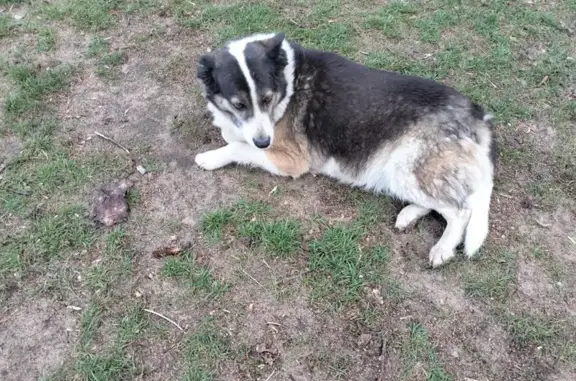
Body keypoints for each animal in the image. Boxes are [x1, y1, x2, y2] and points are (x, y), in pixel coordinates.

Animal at [194, 32, 496, 268]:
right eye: (239, 104)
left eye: (267, 99)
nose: (263, 142)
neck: (287, 83)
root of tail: (477, 116)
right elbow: (232, 134)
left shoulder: (289, 159)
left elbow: (236, 146)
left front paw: (210, 157)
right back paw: (408, 215)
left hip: (404, 166)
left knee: (460, 210)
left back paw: (443, 248)